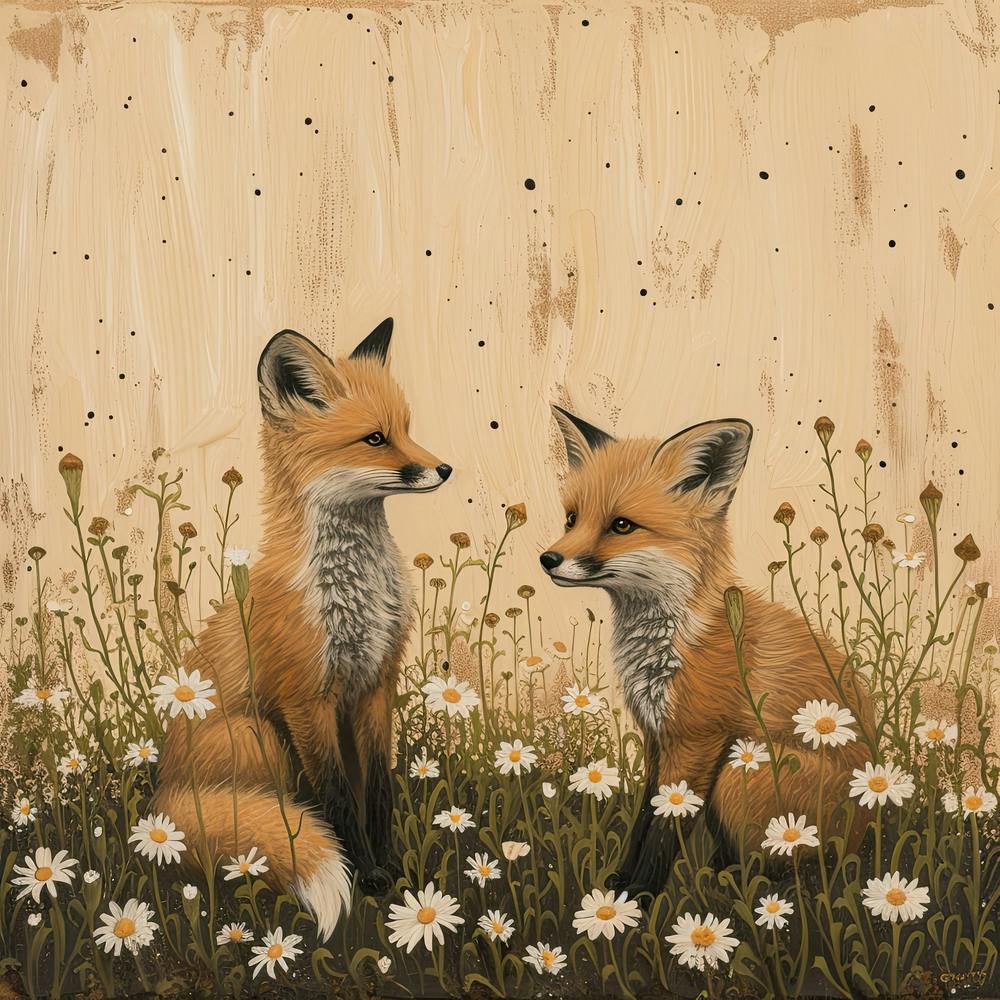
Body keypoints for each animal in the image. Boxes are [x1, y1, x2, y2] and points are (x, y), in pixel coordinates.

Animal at [152, 319, 451, 939]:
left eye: (406, 430)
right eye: (375, 439)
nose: (443, 468)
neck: (358, 597)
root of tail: (161, 798)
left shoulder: (375, 685)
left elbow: (378, 789)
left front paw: (388, 863)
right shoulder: (306, 698)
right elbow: (336, 798)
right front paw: (367, 874)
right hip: (258, 736)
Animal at [540, 407, 874, 898]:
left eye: (621, 525)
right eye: (571, 519)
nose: (548, 559)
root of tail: (866, 832)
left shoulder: (697, 739)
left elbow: (666, 822)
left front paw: (639, 895)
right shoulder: (657, 736)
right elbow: (646, 812)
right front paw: (620, 880)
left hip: (740, 771)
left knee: (801, 869)